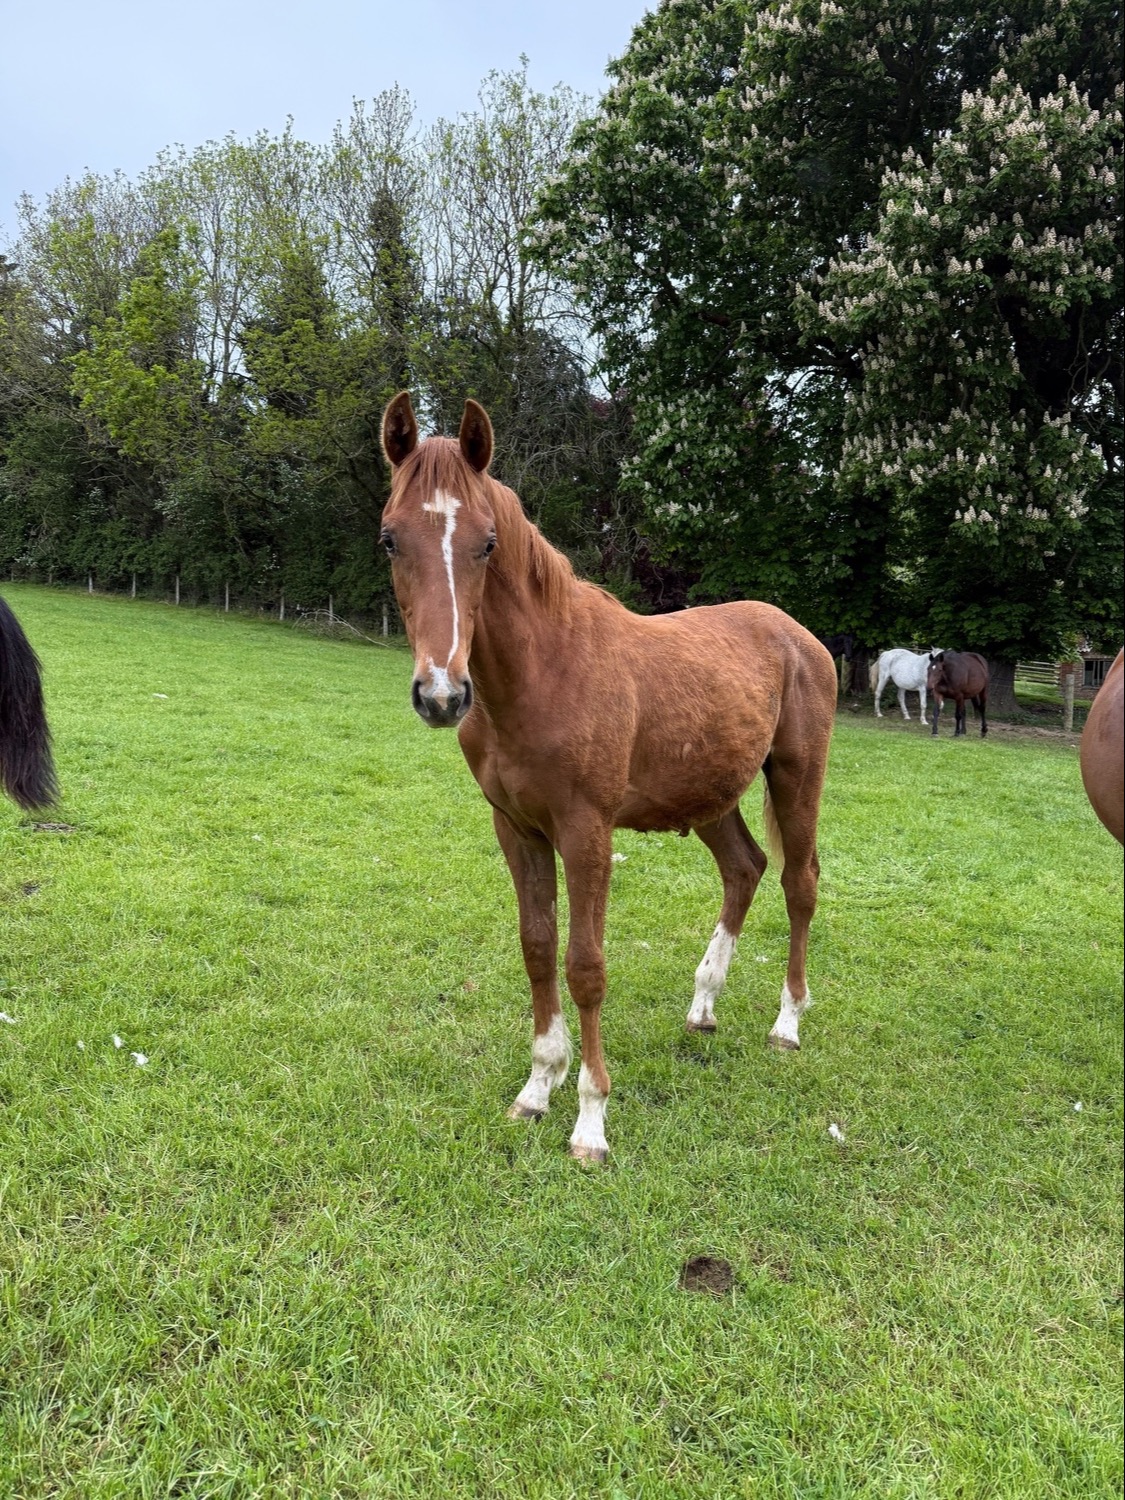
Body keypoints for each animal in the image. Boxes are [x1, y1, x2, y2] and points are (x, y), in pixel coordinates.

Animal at [380, 392, 838, 1163]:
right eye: (390, 539)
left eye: (487, 543)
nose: (441, 695)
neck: (544, 674)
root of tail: (798, 634)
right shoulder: (518, 829)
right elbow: (538, 950)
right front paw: (537, 1089)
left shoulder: (586, 833)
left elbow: (584, 966)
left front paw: (590, 1119)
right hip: (710, 796)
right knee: (744, 868)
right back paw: (702, 1006)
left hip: (796, 777)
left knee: (797, 882)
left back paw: (787, 1023)